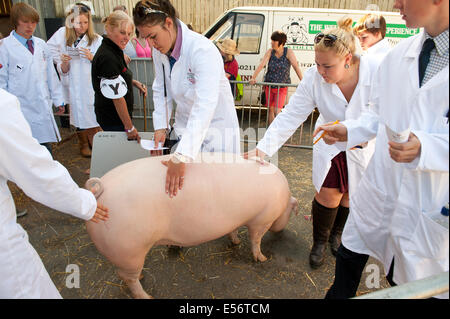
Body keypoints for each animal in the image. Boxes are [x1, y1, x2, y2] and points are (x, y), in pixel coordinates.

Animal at [85, 154, 298, 298]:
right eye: (290, 211)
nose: (282, 230)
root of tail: (100, 190)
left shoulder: (237, 220)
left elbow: (234, 230)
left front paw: (236, 242)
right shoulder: (262, 220)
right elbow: (256, 240)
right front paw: (262, 258)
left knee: (126, 275)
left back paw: (143, 277)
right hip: (130, 250)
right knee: (127, 277)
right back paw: (147, 296)